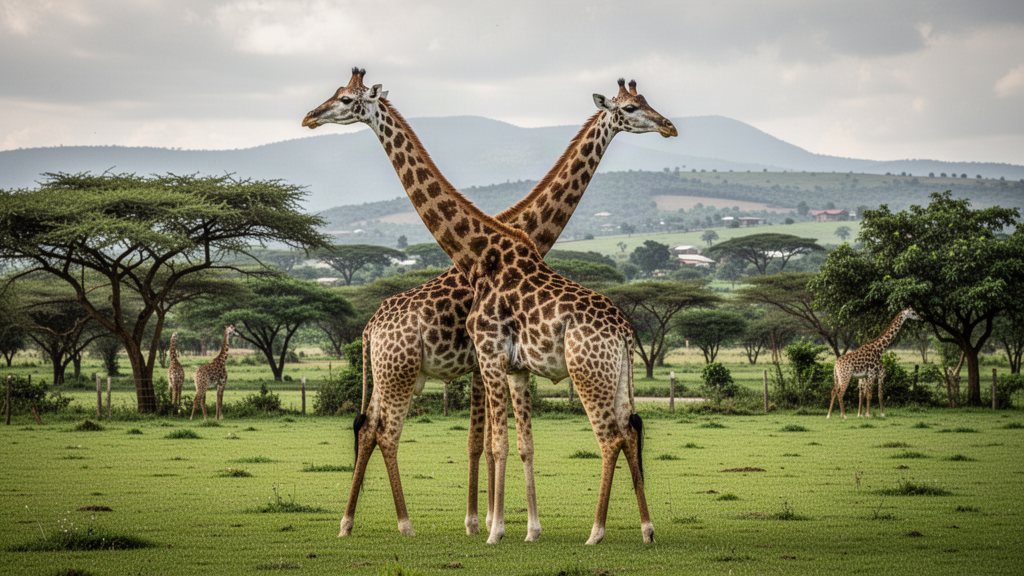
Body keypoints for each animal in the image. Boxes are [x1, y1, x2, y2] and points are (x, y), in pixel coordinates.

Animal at [305, 72, 674, 539]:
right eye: (630, 107)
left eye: (345, 99)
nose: (310, 116)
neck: (488, 251)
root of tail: (370, 326)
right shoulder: (495, 362)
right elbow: (498, 442)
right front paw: (501, 525)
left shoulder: (493, 361)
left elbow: (496, 442)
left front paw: (497, 525)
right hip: (401, 372)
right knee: (377, 430)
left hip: (417, 373)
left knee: (616, 434)